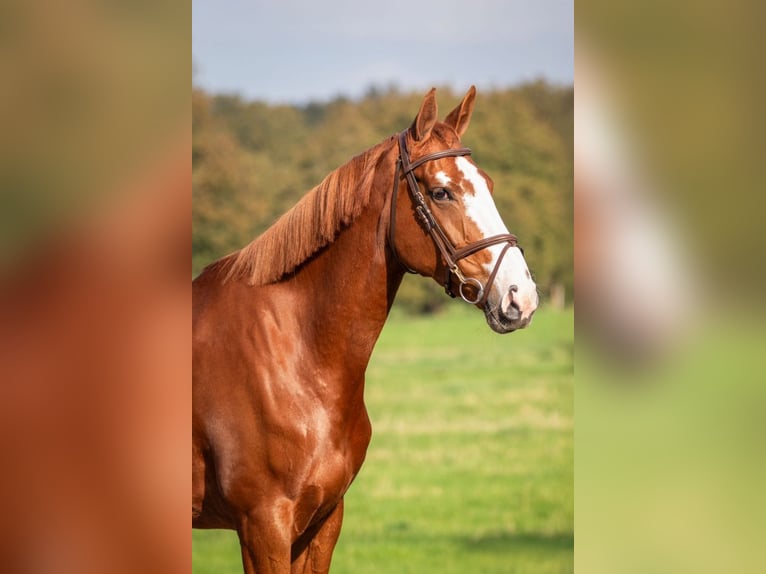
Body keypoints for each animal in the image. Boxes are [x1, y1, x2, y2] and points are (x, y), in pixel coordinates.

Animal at [192, 88, 540, 572]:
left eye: (488, 184)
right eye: (441, 192)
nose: (520, 297)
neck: (297, 354)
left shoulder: (322, 520)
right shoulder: (263, 526)